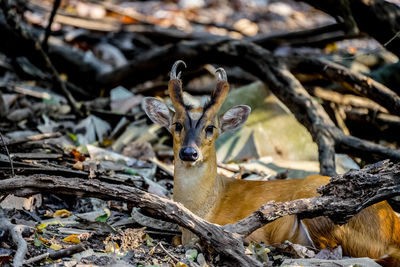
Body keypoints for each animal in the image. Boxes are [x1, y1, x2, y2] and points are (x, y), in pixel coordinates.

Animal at [143, 60, 400, 266]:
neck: (206, 205)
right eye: (177, 125)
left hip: (325, 212)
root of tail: (392, 230)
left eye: (210, 128)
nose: (189, 153)